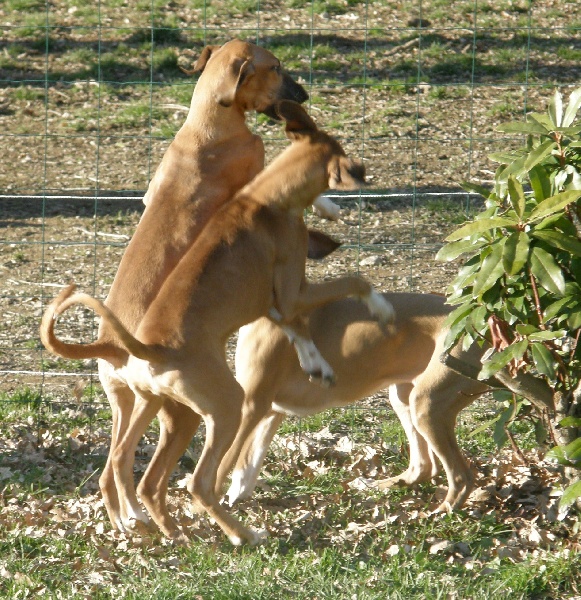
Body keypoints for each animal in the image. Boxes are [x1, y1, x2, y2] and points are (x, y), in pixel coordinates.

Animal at [36, 38, 308, 536]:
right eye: (276, 68)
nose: (304, 95)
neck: (206, 126)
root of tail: (111, 345)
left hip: (133, 405)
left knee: (114, 466)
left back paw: (133, 521)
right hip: (174, 411)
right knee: (137, 467)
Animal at [39, 102, 394, 544]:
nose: (363, 172)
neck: (266, 198)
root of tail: (151, 347)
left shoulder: (277, 307)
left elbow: (299, 330)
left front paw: (318, 364)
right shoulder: (293, 292)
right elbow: (355, 281)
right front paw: (381, 307)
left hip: (157, 406)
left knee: (128, 465)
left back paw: (166, 527)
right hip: (224, 408)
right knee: (198, 482)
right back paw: (243, 534)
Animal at [221, 292, 552, 512]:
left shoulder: (251, 406)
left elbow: (225, 463)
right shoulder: (268, 412)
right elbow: (246, 466)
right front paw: (235, 500)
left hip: (426, 403)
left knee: (461, 475)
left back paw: (443, 512)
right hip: (404, 397)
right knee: (424, 466)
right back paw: (389, 486)